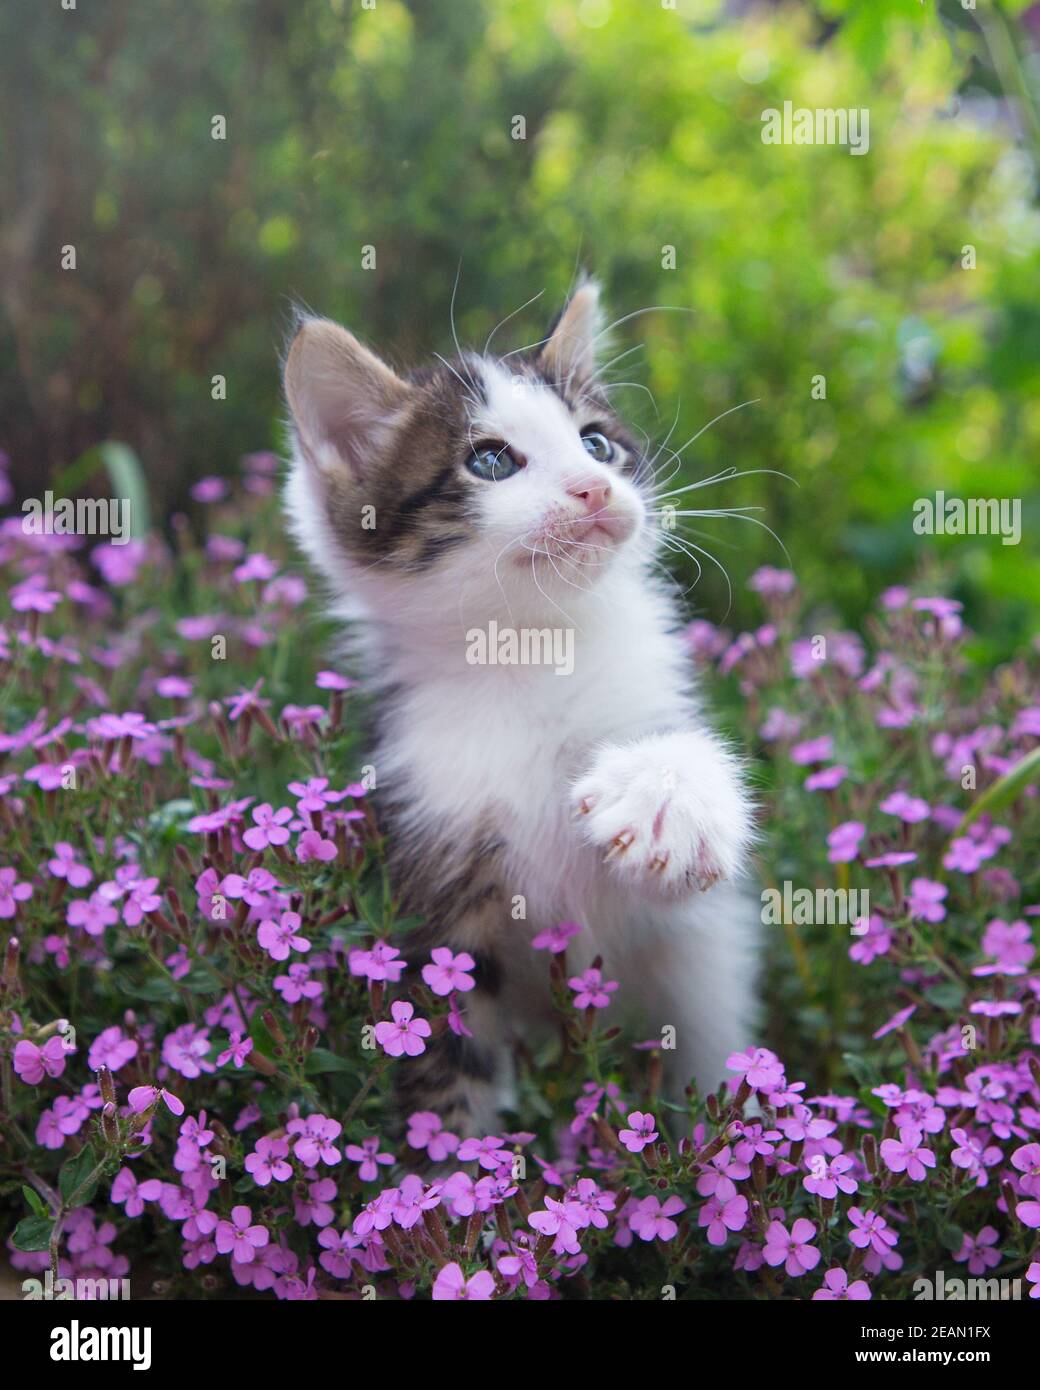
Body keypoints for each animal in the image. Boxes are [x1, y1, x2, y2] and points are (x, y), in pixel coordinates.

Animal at [282, 276, 756, 1134]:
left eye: (597, 444)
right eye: (491, 460)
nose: (594, 487)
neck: (531, 654)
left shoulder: (669, 934)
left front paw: (665, 797)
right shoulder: (432, 894)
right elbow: (447, 1068)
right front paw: (450, 1162)